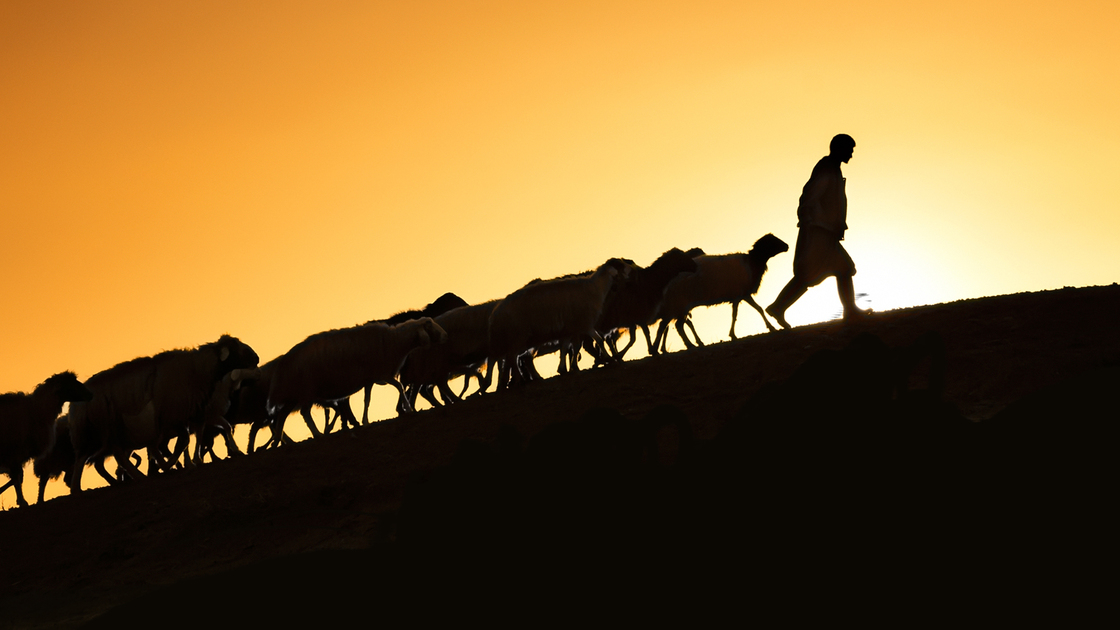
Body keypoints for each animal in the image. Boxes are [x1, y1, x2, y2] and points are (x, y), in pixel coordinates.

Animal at [0, 367, 92, 504]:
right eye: (71, 384)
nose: (90, 394)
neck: (36, 410)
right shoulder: (14, 452)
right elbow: (17, 478)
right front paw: (22, 502)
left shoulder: (16, 455)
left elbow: (18, 478)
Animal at [69, 334, 259, 490]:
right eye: (236, 346)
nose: (257, 358)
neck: (196, 369)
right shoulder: (174, 415)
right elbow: (183, 442)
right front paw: (173, 465)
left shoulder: (190, 415)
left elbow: (188, 440)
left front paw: (186, 463)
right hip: (92, 431)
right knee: (81, 460)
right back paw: (76, 489)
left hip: (111, 431)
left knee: (116, 456)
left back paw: (137, 476)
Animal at [264, 313, 448, 446]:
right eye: (430, 325)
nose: (446, 335)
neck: (395, 341)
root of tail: (283, 364)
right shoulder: (379, 375)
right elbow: (396, 388)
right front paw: (407, 408)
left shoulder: (373, 378)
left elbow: (371, 398)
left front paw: (366, 421)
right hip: (306, 390)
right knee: (304, 413)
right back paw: (316, 435)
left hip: (295, 394)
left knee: (282, 415)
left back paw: (279, 441)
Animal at [488, 258, 627, 387]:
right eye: (620, 268)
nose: (626, 278)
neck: (596, 288)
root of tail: (496, 312)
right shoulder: (585, 324)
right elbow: (599, 340)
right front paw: (610, 359)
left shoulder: (571, 329)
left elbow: (568, 348)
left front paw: (565, 369)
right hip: (518, 335)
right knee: (511, 357)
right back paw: (517, 380)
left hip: (513, 338)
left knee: (509, 358)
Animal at [649, 233, 788, 354]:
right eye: (772, 241)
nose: (787, 246)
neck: (753, 262)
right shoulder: (740, 295)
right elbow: (737, 314)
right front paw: (733, 335)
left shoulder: (741, 295)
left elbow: (756, 309)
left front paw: (770, 327)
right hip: (680, 304)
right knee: (675, 325)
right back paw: (687, 345)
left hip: (677, 306)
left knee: (667, 325)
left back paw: (658, 349)